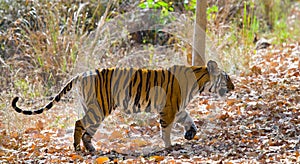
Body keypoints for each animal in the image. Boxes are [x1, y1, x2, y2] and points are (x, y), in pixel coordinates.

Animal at [11, 60, 234, 152]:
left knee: (87, 130)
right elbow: (166, 130)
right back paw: (77, 148)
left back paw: (91, 148)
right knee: (79, 123)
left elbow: (189, 119)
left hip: (94, 109)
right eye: (226, 78)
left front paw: (190, 133)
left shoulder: (177, 108)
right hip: (99, 107)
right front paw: (170, 146)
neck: (199, 81)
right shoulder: (169, 109)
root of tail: (81, 74)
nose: (234, 87)